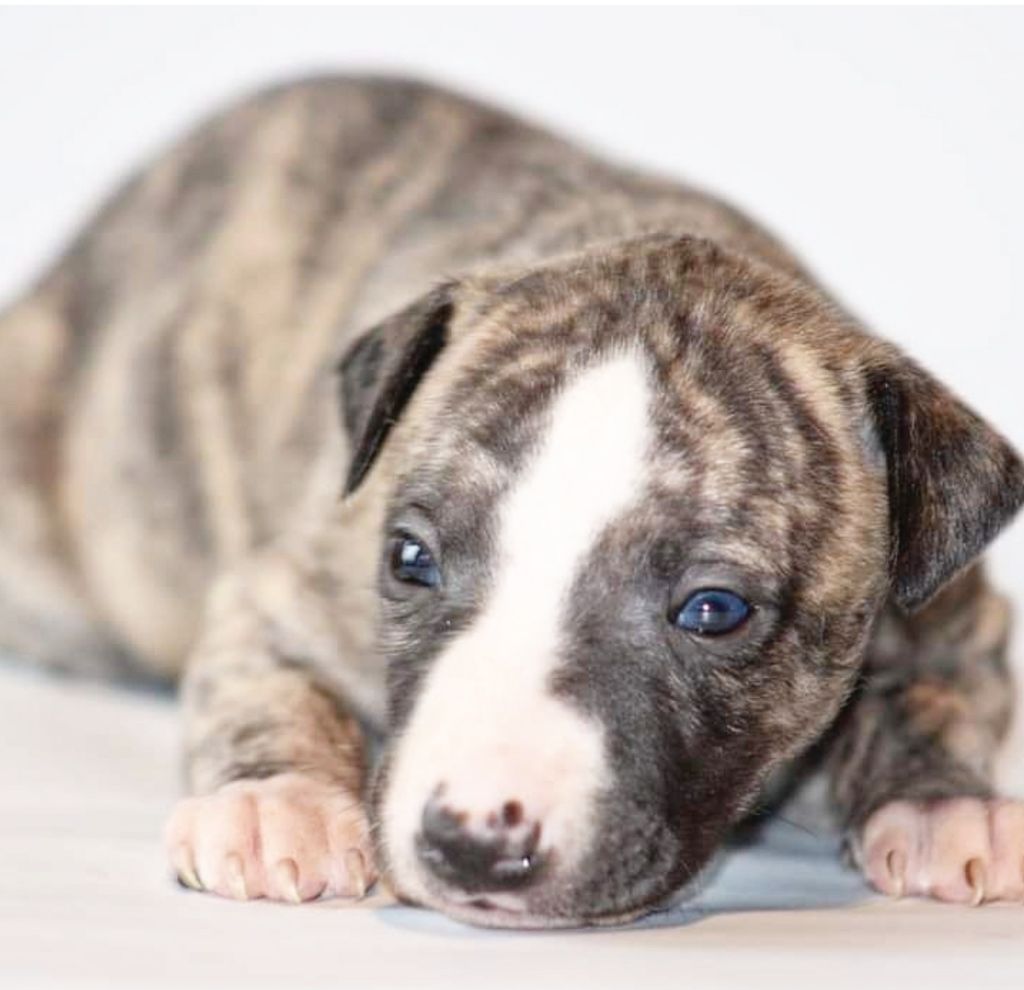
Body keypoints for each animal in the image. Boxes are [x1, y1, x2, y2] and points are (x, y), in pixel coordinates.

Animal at [1, 76, 1022, 928]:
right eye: (410, 559)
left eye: (714, 610)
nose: (471, 844)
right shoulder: (289, 585)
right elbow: (258, 679)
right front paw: (275, 803)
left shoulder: (960, 619)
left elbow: (939, 696)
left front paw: (945, 807)